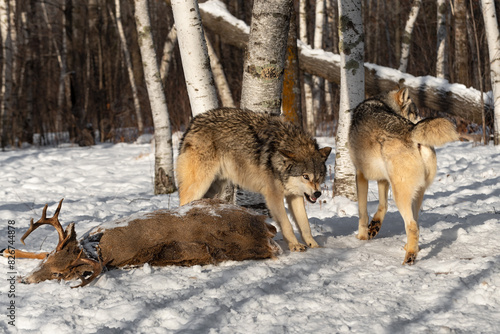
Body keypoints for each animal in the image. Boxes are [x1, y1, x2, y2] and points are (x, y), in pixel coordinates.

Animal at [176, 108, 332, 252]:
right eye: (305, 176)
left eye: (319, 176)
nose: (318, 194)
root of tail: (192, 124)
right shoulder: (273, 196)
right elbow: (286, 224)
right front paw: (295, 245)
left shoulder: (295, 195)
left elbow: (305, 225)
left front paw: (314, 246)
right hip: (200, 186)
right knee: (183, 206)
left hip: (214, 189)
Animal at [350, 87, 458, 264]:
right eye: (415, 112)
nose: (420, 119)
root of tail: (412, 131)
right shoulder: (383, 180)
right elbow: (383, 206)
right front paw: (374, 227)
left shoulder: (360, 175)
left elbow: (362, 213)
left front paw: (362, 237)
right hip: (415, 194)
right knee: (417, 224)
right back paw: (411, 248)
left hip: (400, 196)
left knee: (412, 225)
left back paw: (410, 257)